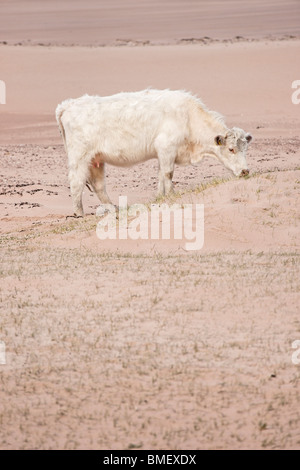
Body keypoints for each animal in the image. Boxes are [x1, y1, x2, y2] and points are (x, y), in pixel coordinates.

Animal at [55, 89, 252, 216]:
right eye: (231, 149)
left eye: (245, 149)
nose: (245, 171)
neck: (188, 118)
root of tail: (68, 105)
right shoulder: (166, 147)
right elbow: (168, 174)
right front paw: (172, 195)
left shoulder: (163, 154)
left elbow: (161, 175)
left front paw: (160, 196)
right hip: (79, 157)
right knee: (76, 182)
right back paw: (79, 213)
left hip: (96, 160)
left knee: (98, 186)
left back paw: (112, 208)